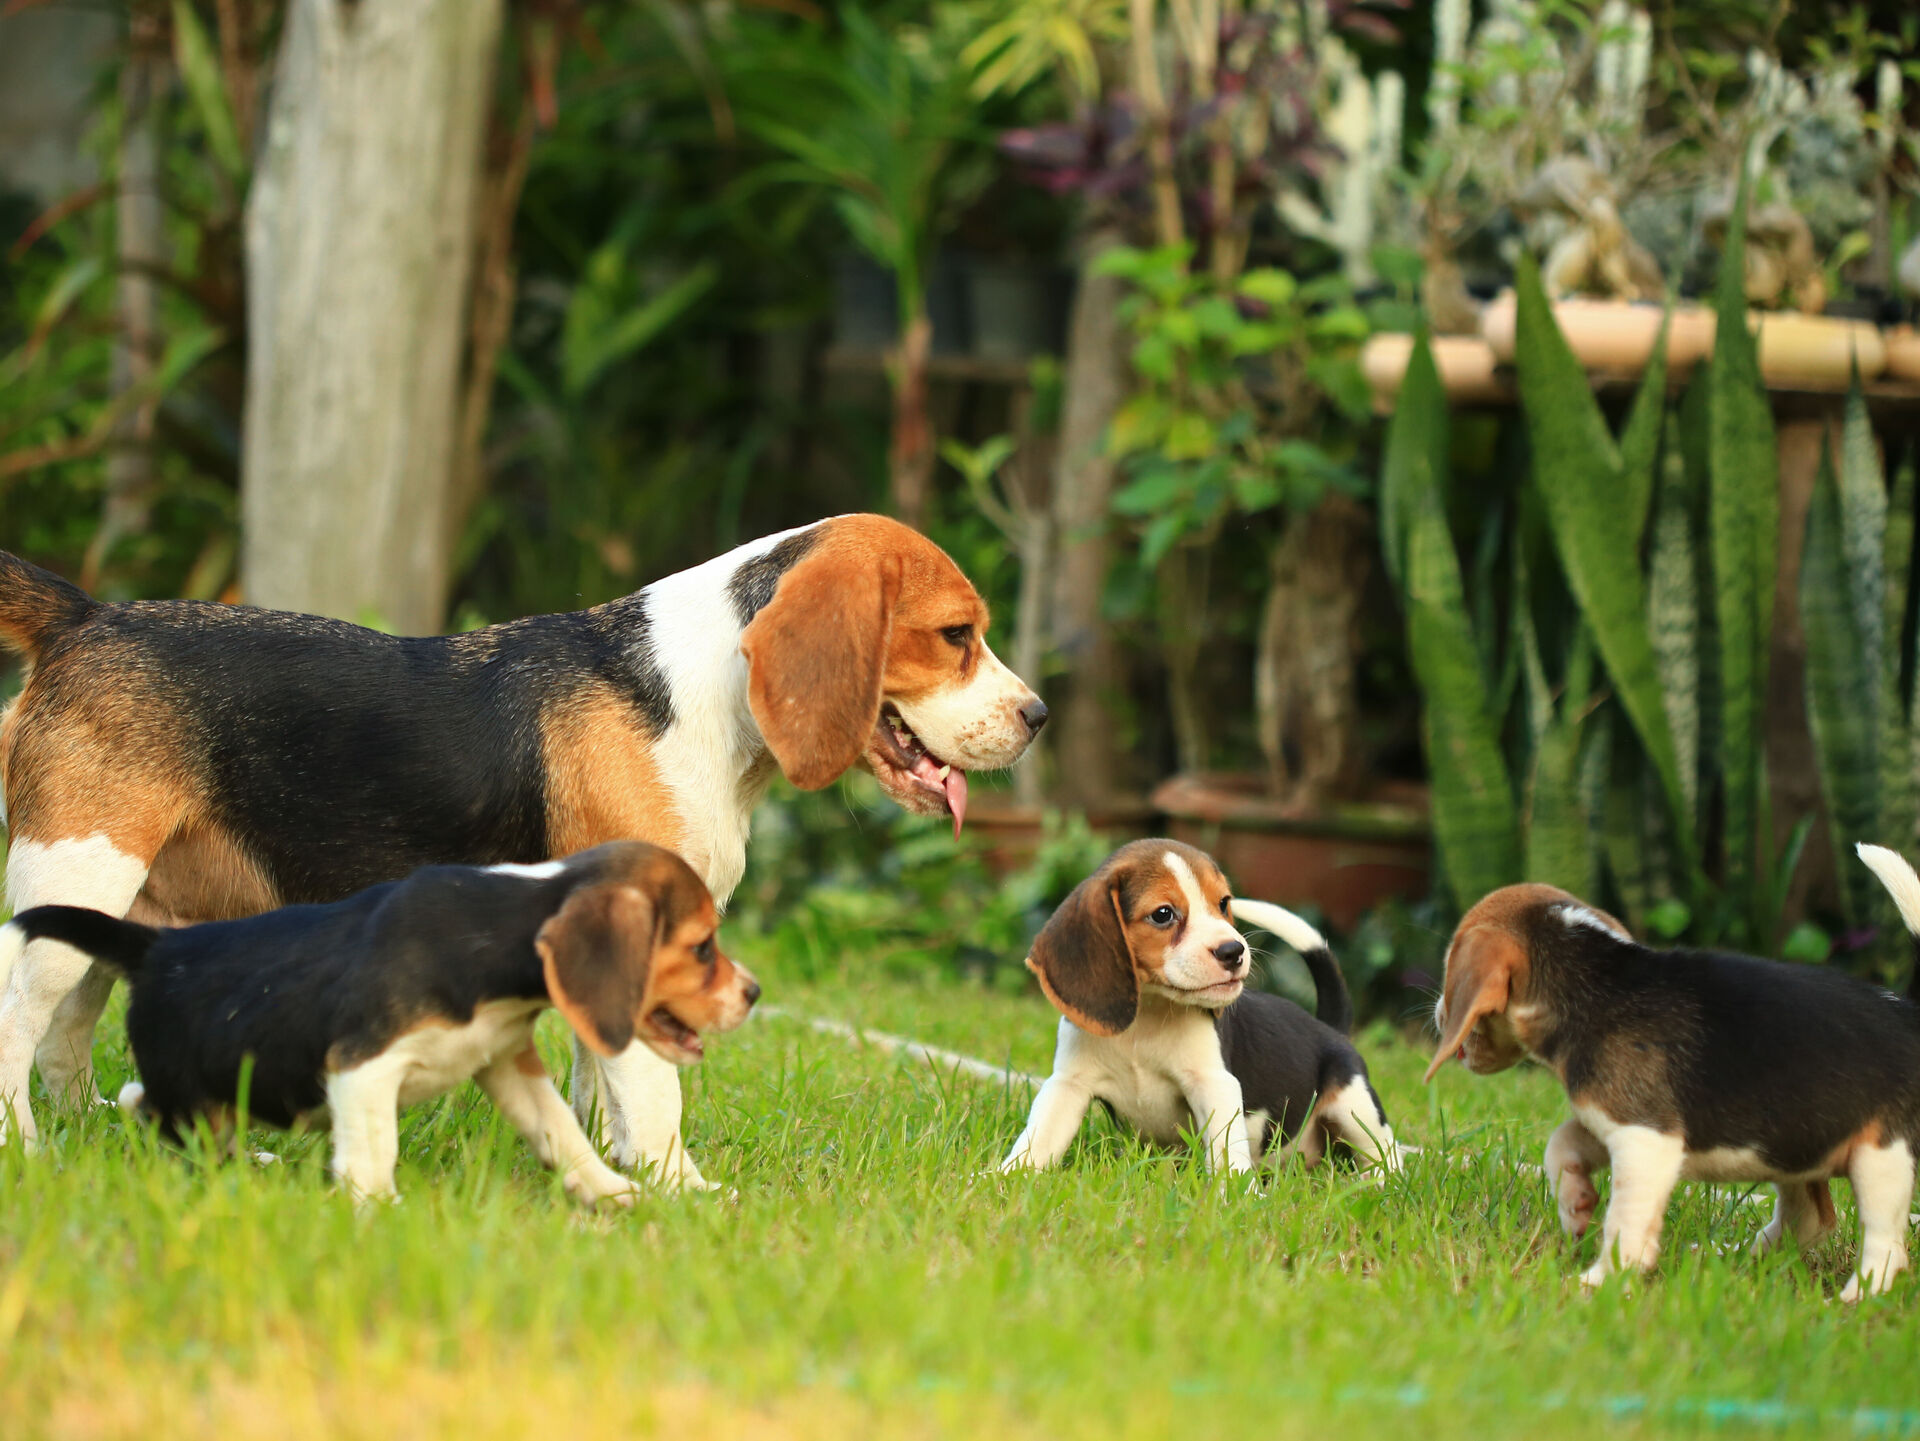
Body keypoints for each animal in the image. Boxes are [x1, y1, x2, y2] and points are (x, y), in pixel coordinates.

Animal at [0, 844, 756, 1204]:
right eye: (701, 948)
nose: (753, 992)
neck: (500, 929)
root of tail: (156, 948)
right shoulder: (361, 1064)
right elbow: (374, 1148)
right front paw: (377, 1206)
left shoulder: (506, 1061)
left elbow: (562, 1132)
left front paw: (611, 1191)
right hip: (189, 1085)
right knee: (150, 1109)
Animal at [1006, 840, 1397, 1174]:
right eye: (1163, 914)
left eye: (1223, 903)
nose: (1233, 951)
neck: (1148, 1019)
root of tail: (1330, 1028)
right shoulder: (1068, 1084)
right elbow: (1038, 1140)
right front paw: (1006, 1178)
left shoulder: (1213, 1083)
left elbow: (1227, 1155)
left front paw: (1236, 1199)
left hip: (1353, 1102)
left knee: (1385, 1153)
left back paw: (1375, 1183)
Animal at [1428, 851, 1920, 1304]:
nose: (1436, 1014)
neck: (1597, 979)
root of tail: (1910, 1013)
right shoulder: (1625, 1120)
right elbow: (1561, 1142)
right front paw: (1574, 1204)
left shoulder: (1645, 1140)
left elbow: (1624, 1219)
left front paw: (1602, 1281)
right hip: (1796, 1144)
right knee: (1812, 1222)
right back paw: (1731, 1260)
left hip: (1881, 1158)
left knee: (1885, 1247)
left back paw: (1852, 1302)